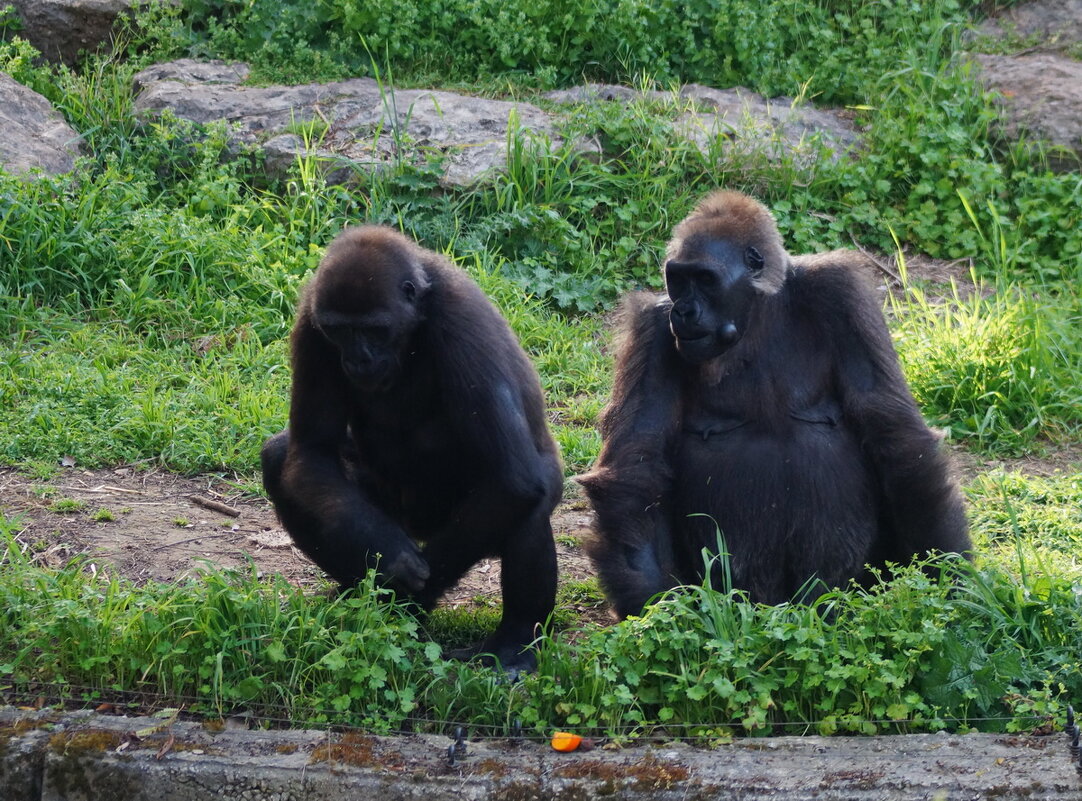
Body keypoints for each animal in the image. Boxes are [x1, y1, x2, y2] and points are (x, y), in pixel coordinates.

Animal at [261, 225, 562, 671]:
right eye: (341, 331)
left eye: (374, 329)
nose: (358, 360)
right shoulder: (311, 321)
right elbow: (312, 452)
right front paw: (388, 559)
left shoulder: (460, 319)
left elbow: (514, 480)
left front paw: (410, 596)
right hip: (396, 514)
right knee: (282, 459)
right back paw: (357, 594)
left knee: (530, 496)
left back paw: (513, 641)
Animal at [584, 190, 973, 614]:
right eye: (678, 280)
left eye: (704, 280)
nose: (684, 311)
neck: (760, 310)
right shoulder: (653, 328)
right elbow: (636, 464)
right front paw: (658, 606)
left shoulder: (840, 292)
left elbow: (896, 435)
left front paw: (947, 577)